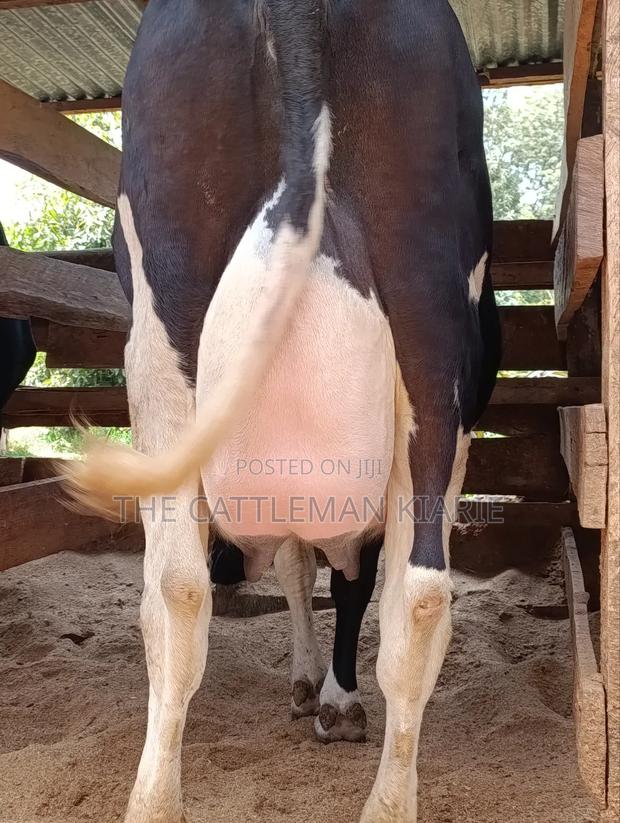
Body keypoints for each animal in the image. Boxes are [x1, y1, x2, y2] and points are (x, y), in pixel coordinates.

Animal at [66, 1, 501, 820]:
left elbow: (313, 574)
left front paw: (320, 691)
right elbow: (326, 578)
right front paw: (326, 693)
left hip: (162, 328)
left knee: (178, 586)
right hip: (428, 330)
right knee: (418, 595)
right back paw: (382, 799)